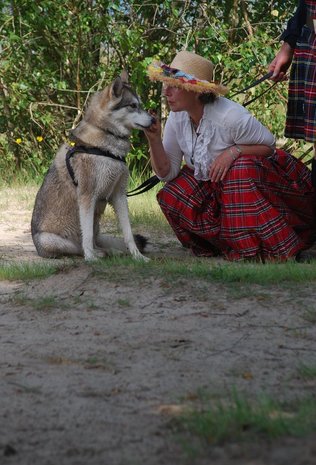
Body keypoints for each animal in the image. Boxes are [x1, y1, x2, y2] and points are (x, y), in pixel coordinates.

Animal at [30, 71, 154, 260]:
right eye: (133, 105)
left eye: (140, 104)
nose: (154, 119)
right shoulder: (87, 196)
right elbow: (86, 235)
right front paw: (90, 258)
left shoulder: (119, 195)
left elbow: (128, 234)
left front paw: (138, 257)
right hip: (50, 240)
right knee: (80, 247)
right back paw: (97, 254)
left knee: (97, 241)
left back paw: (110, 251)